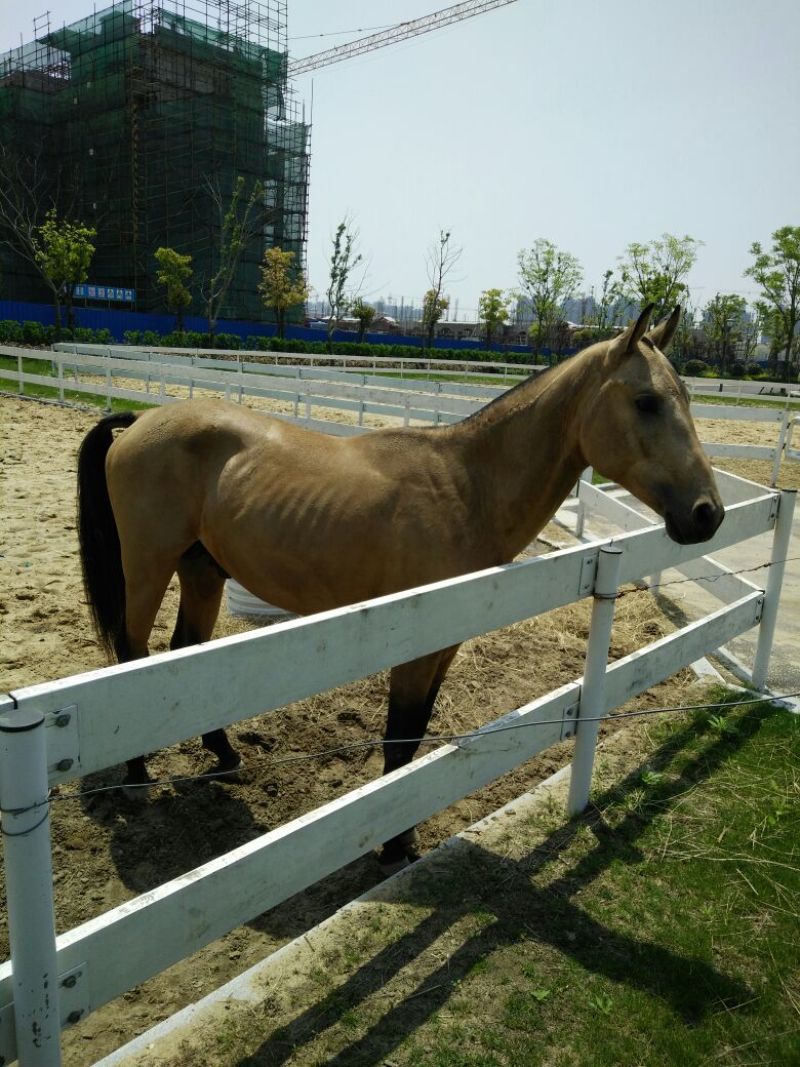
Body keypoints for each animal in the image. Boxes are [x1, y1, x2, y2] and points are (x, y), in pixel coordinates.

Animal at [76, 304, 724, 864]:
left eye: (686, 399)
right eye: (646, 401)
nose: (707, 514)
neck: (467, 489)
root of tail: (140, 421)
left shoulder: (444, 645)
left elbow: (414, 740)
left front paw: (403, 837)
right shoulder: (412, 650)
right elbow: (399, 737)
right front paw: (392, 847)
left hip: (202, 569)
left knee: (183, 653)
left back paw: (224, 753)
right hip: (148, 566)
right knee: (131, 655)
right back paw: (137, 775)